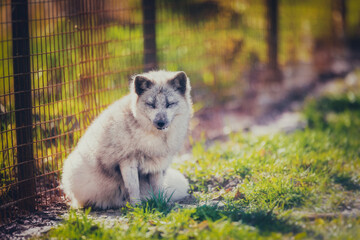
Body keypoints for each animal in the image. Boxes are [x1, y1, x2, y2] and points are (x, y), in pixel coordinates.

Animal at [60, 70, 193, 208]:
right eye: (151, 104)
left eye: (169, 104)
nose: (160, 122)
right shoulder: (126, 160)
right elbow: (133, 188)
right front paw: (137, 207)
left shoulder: (157, 164)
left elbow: (158, 187)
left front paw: (161, 203)